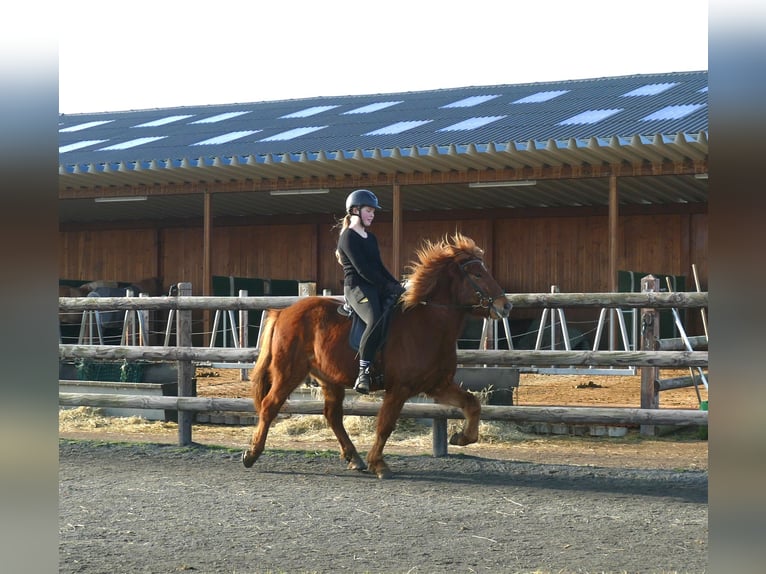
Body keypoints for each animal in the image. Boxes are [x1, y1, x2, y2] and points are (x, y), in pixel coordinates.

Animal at [242, 233, 512, 478]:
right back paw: (252, 454)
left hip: (329, 378)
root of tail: (283, 312)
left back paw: (354, 458)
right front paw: (379, 464)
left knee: (333, 416)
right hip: (289, 372)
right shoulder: (399, 389)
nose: (505, 306)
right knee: (269, 406)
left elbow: (472, 403)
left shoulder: (437, 386)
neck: (428, 324)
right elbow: (385, 425)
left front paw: (462, 437)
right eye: (477, 274)